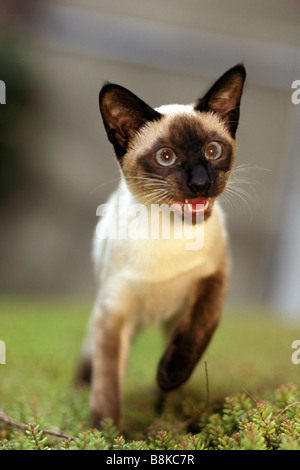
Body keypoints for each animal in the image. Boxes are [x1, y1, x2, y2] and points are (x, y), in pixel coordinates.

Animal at [77, 62, 246, 430]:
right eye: (166, 157)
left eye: (213, 151)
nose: (200, 183)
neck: (169, 235)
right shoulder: (114, 312)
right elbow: (107, 388)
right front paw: (107, 434)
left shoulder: (215, 277)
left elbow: (197, 329)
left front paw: (168, 376)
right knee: (91, 360)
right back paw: (80, 388)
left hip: (171, 318)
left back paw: (170, 411)